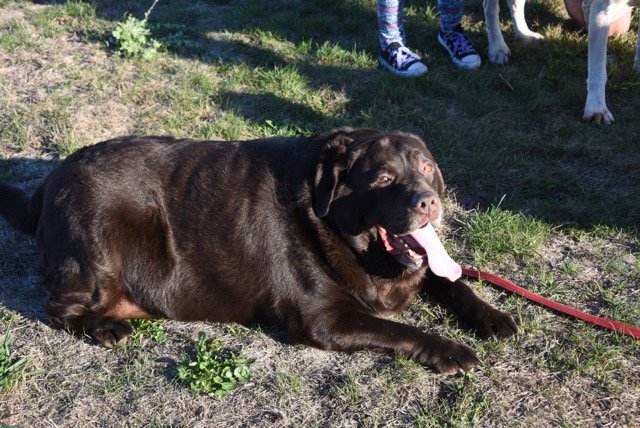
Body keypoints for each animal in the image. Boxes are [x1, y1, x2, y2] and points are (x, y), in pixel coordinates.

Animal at [484, 0, 640, 125]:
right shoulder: (602, 11)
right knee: (489, 7)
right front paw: (596, 109)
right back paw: (497, 47)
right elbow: (598, 70)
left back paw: (524, 34)